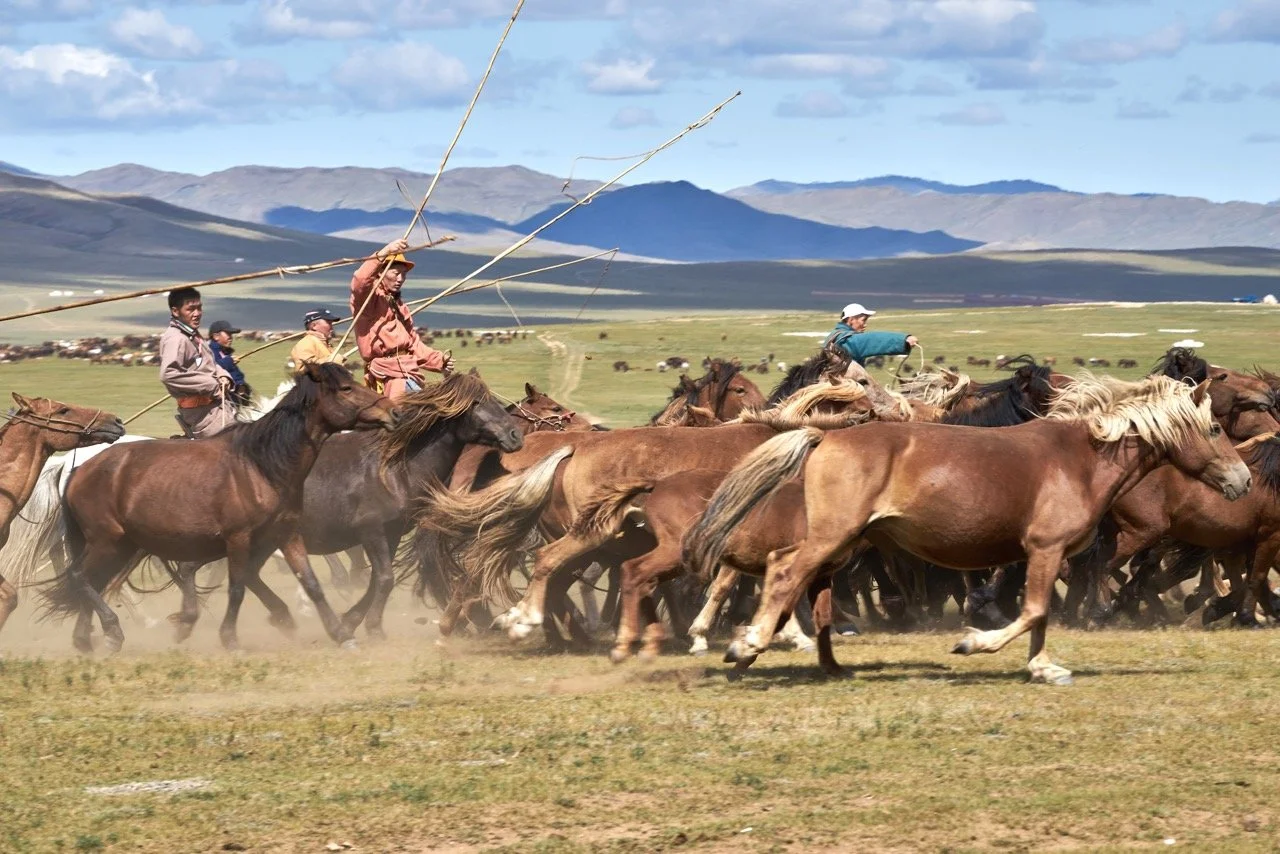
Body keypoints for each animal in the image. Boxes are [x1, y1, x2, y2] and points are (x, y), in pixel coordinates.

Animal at [39, 363, 397, 653]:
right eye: (346, 388)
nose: (392, 413)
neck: (261, 464)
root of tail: (77, 470)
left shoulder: (286, 533)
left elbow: (311, 583)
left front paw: (341, 633)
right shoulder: (238, 538)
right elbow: (236, 587)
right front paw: (230, 639)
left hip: (123, 544)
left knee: (93, 581)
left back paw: (87, 639)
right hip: (106, 541)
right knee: (80, 577)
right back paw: (112, 631)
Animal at [686, 374, 1250, 683]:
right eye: (1214, 428)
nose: (1243, 480)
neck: (1084, 458)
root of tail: (825, 437)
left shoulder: (1045, 555)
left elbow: (1040, 614)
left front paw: (1043, 666)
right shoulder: (1045, 548)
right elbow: (1033, 611)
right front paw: (975, 644)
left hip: (844, 543)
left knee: (807, 586)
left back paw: (814, 662)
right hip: (833, 536)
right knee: (784, 571)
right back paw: (746, 645)